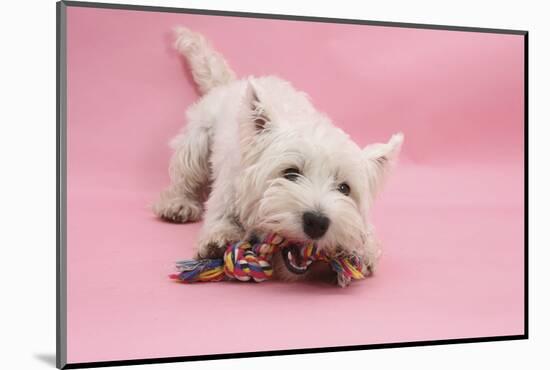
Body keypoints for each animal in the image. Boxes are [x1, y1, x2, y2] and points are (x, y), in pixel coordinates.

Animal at [155, 27, 406, 288]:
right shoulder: (226, 192)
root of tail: (233, 84)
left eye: (344, 188)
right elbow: (219, 218)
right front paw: (220, 239)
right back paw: (178, 204)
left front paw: (360, 250)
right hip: (196, 142)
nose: (317, 222)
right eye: (291, 173)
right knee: (184, 176)